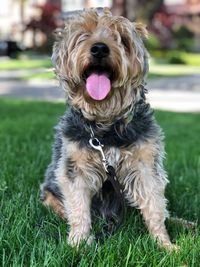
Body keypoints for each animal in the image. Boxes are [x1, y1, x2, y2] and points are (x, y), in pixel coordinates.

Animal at [39, 8, 177, 251]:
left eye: (122, 38)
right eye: (83, 35)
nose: (100, 48)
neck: (106, 126)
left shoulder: (145, 164)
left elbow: (154, 205)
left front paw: (164, 244)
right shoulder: (76, 168)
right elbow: (78, 208)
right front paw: (79, 242)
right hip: (49, 190)